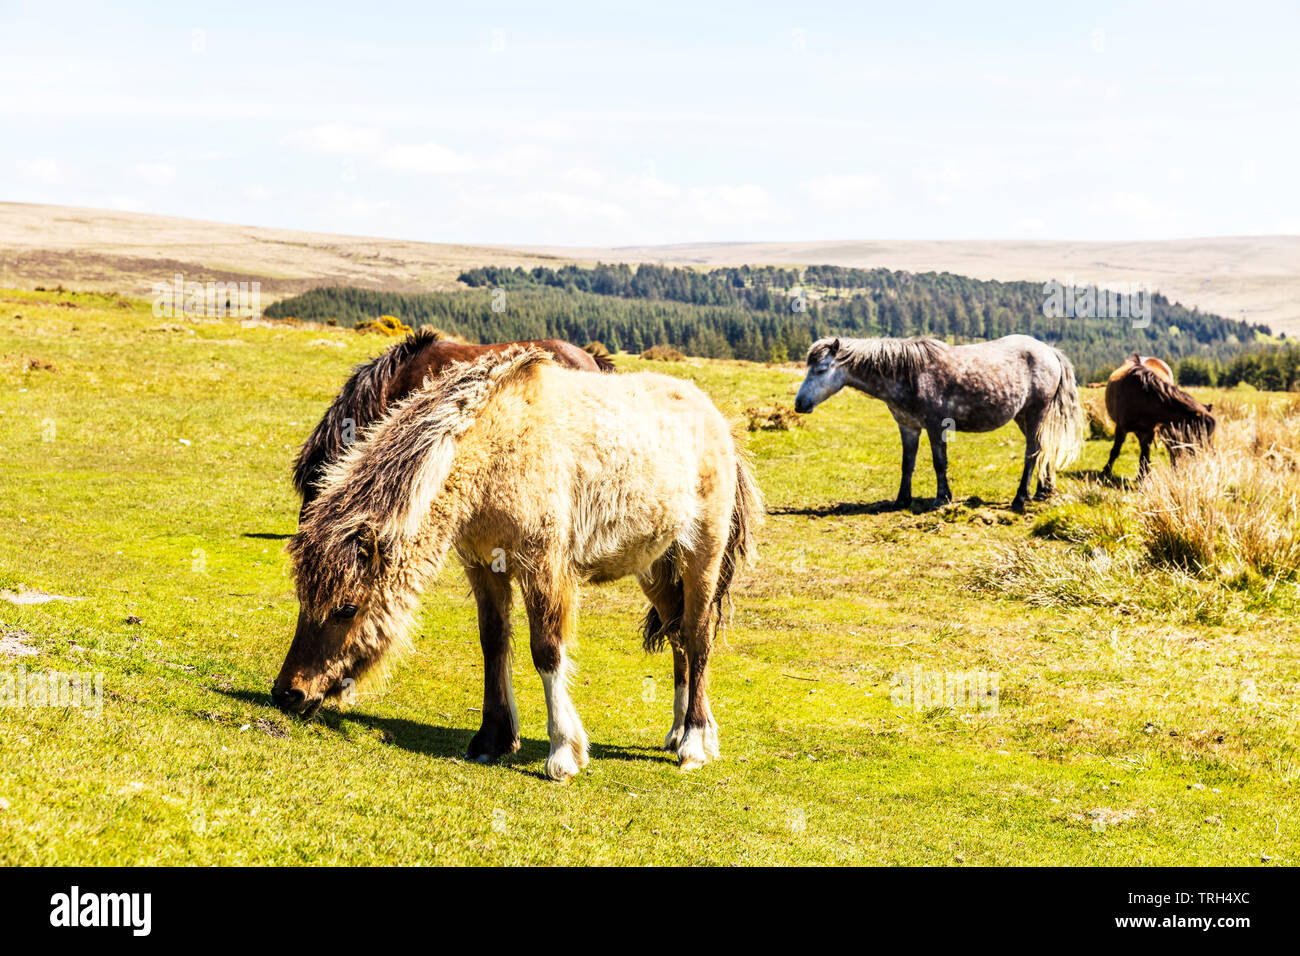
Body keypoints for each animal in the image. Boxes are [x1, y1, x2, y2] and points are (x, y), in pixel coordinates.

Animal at [273, 347, 761, 782]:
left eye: (347, 608)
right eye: (304, 600)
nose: (288, 693)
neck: (499, 448)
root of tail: (715, 418)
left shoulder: (543, 567)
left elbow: (546, 650)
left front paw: (563, 753)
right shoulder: (483, 566)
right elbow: (493, 642)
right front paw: (492, 738)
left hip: (702, 554)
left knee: (697, 636)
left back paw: (694, 741)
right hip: (656, 567)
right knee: (678, 635)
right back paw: (678, 731)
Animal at [794, 334, 1085, 513]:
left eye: (820, 370)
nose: (799, 404)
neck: (908, 374)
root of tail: (1049, 351)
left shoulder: (936, 426)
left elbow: (939, 462)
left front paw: (942, 498)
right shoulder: (908, 427)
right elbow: (907, 463)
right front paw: (902, 499)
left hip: (1036, 412)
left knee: (1032, 452)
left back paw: (1020, 498)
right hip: (1023, 416)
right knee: (1043, 449)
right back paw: (1043, 491)